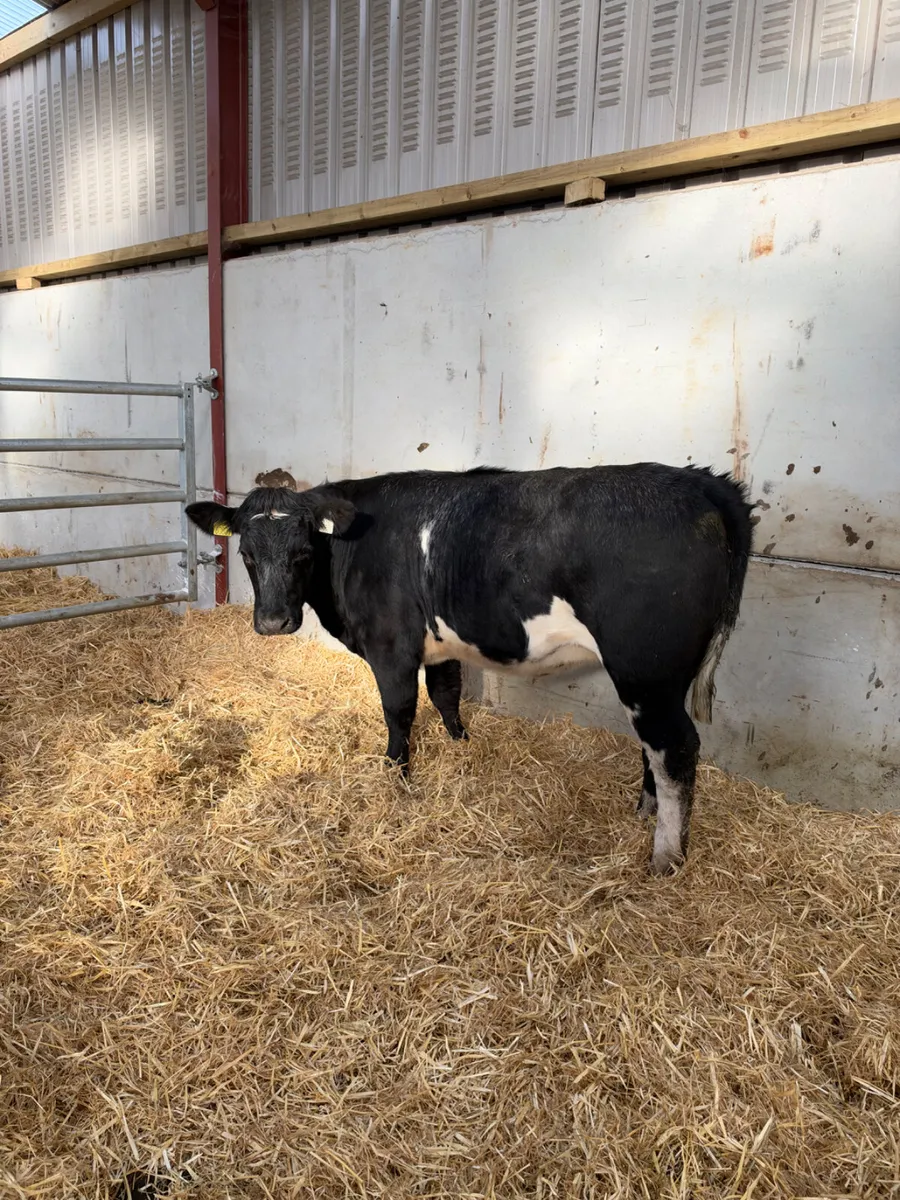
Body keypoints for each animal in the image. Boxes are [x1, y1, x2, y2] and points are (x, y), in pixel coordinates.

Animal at [186, 463, 753, 875]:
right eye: (246, 552)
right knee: (655, 746)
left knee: (674, 748)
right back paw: (644, 811)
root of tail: (699, 481)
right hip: (658, 679)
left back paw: (665, 857)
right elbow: (447, 694)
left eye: (304, 551)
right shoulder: (441, 644)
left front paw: (397, 777)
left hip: (644, 668)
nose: (273, 622)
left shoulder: (391, 645)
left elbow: (399, 711)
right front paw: (461, 748)